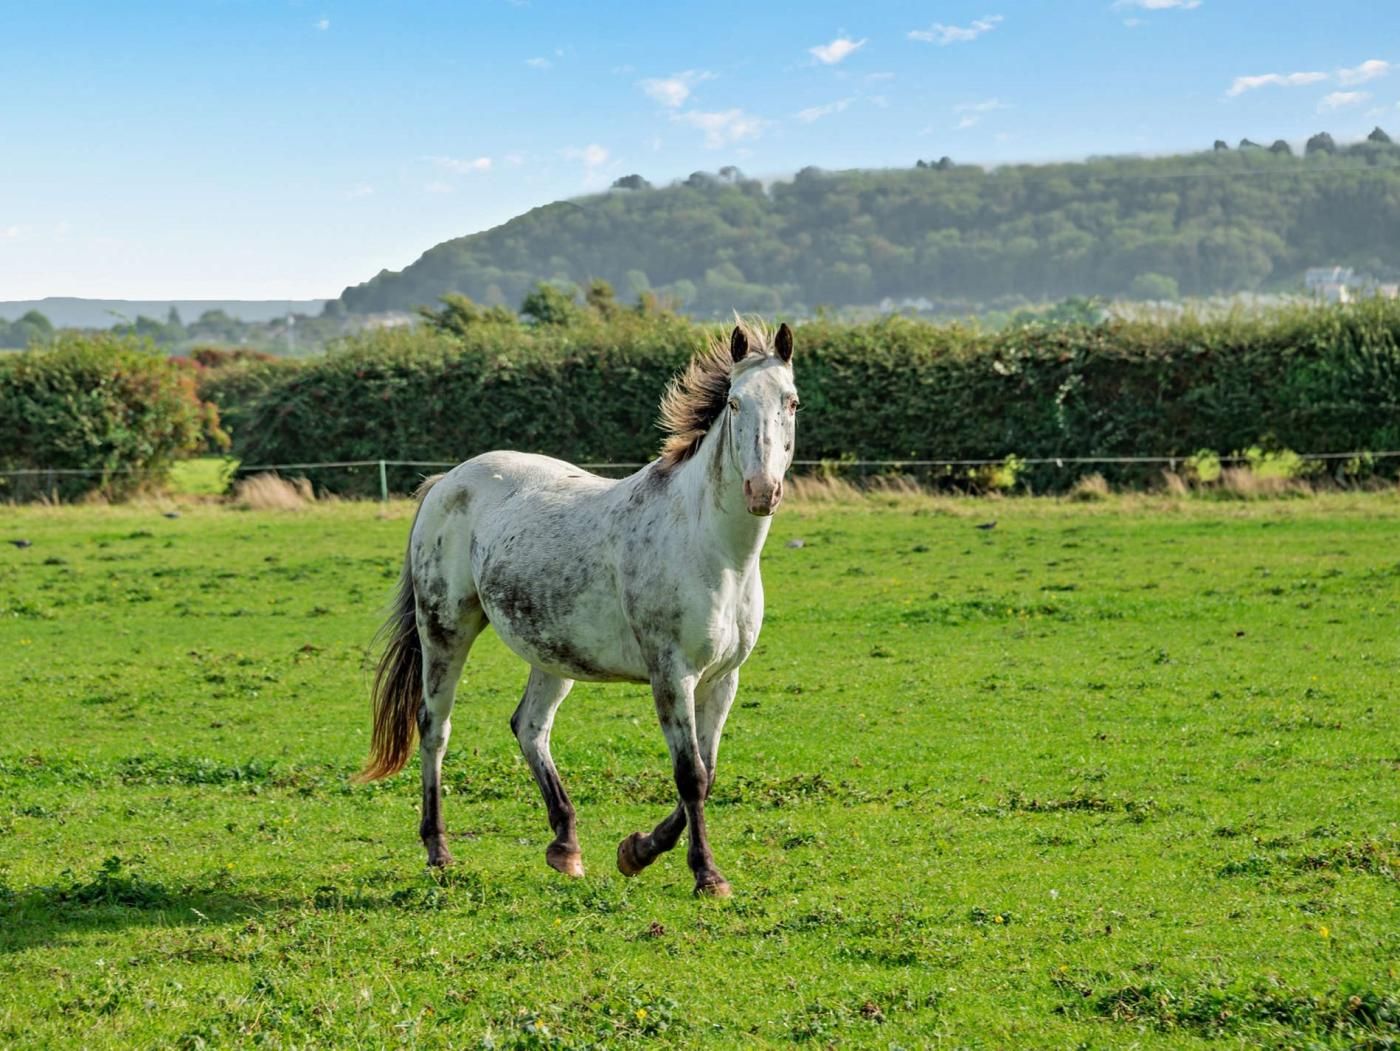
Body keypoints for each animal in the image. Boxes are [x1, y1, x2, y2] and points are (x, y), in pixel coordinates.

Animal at [354, 318, 798, 896]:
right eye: (735, 403)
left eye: (792, 402)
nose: (761, 490)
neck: (710, 546)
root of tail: (445, 482)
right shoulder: (671, 673)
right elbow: (691, 775)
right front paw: (705, 875)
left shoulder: (723, 679)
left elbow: (709, 772)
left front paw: (637, 851)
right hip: (445, 627)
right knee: (435, 727)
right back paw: (439, 849)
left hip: (551, 652)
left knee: (529, 726)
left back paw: (565, 845)